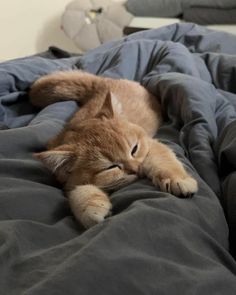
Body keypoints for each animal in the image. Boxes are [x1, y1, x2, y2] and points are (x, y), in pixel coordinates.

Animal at [30, 71, 199, 229]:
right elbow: (80, 192)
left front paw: (177, 179)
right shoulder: (69, 184)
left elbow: (164, 161)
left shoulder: (151, 145)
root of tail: (102, 81)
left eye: (134, 149)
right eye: (110, 167)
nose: (137, 169)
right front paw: (92, 209)